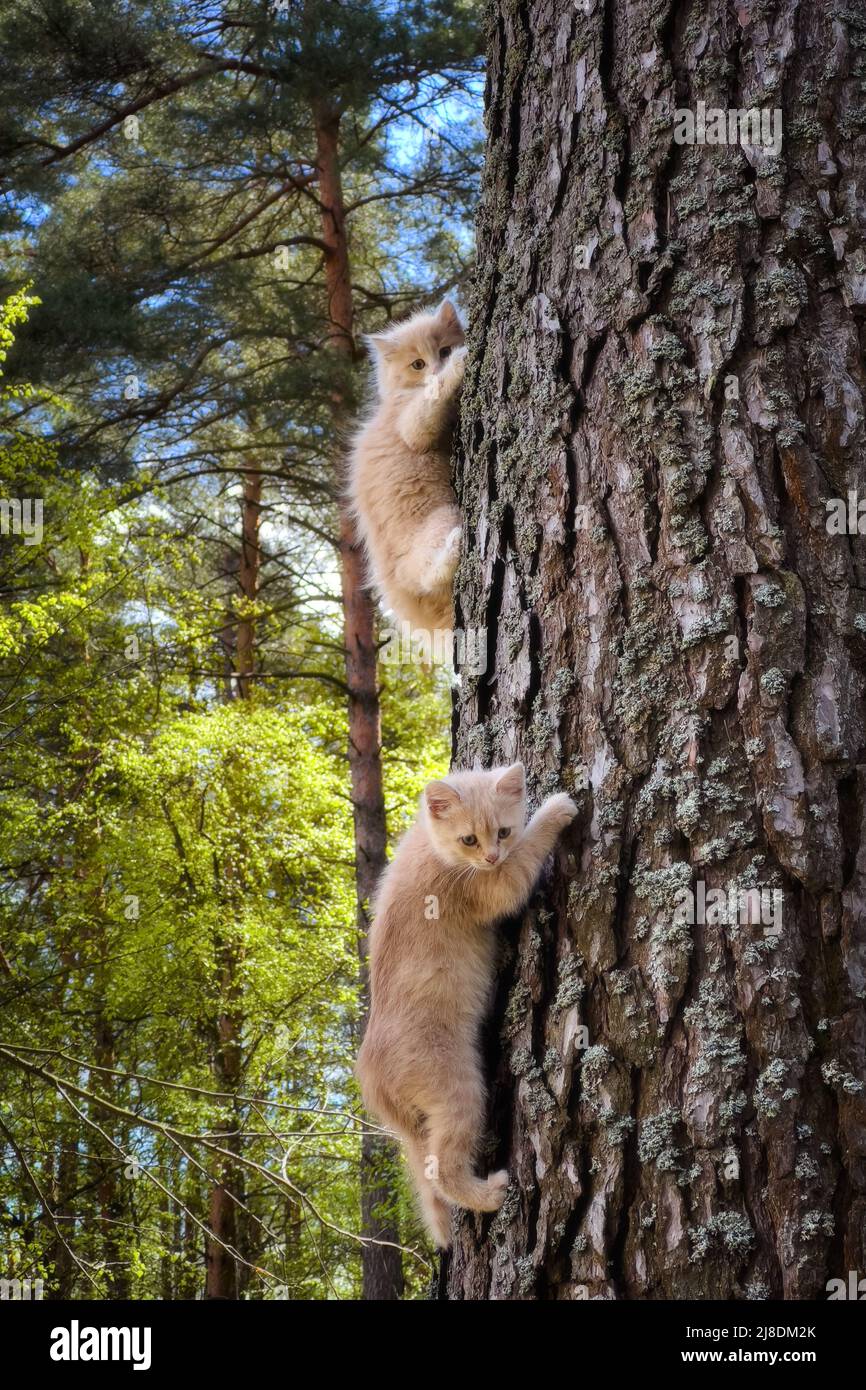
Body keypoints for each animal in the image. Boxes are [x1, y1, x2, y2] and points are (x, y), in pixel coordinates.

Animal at [347, 304, 467, 636]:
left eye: (443, 350)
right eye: (418, 364)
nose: (437, 366)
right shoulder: (410, 424)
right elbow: (432, 398)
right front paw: (459, 363)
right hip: (443, 517)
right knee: (429, 574)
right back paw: (456, 547)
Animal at [355, 767, 578, 1245]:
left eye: (502, 831)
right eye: (469, 840)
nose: (492, 856)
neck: (432, 849)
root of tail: (370, 1071)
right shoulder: (493, 887)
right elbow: (524, 860)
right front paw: (555, 809)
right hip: (459, 1090)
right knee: (440, 1170)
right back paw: (489, 1193)